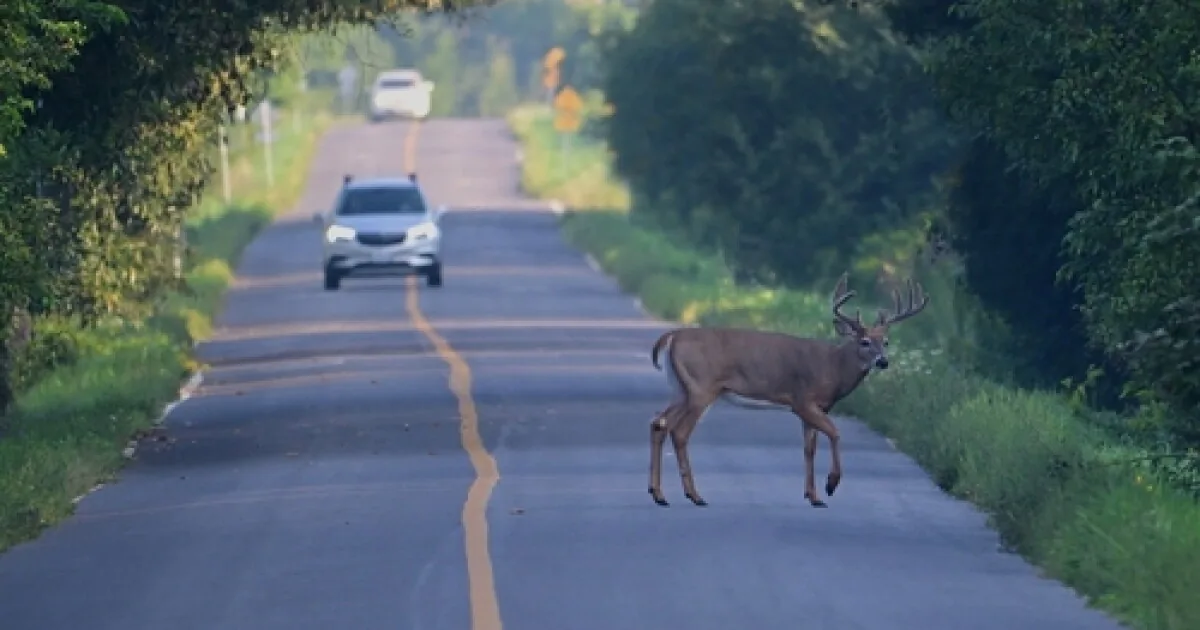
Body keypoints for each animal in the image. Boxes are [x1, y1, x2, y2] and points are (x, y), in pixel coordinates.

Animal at [646, 273, 929, 508]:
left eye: (887, 342)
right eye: (865, 341)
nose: (883, 361)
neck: (834, 367)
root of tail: (672, 337)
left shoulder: (816, 408)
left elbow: (809, 448)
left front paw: (813, 497)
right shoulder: (803, 401)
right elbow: (834, 433)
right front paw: (831, 485)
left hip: (682, 388)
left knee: (658, 423)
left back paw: (659, 494)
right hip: (701, 387)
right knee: (679, 432)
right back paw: (694, 496)